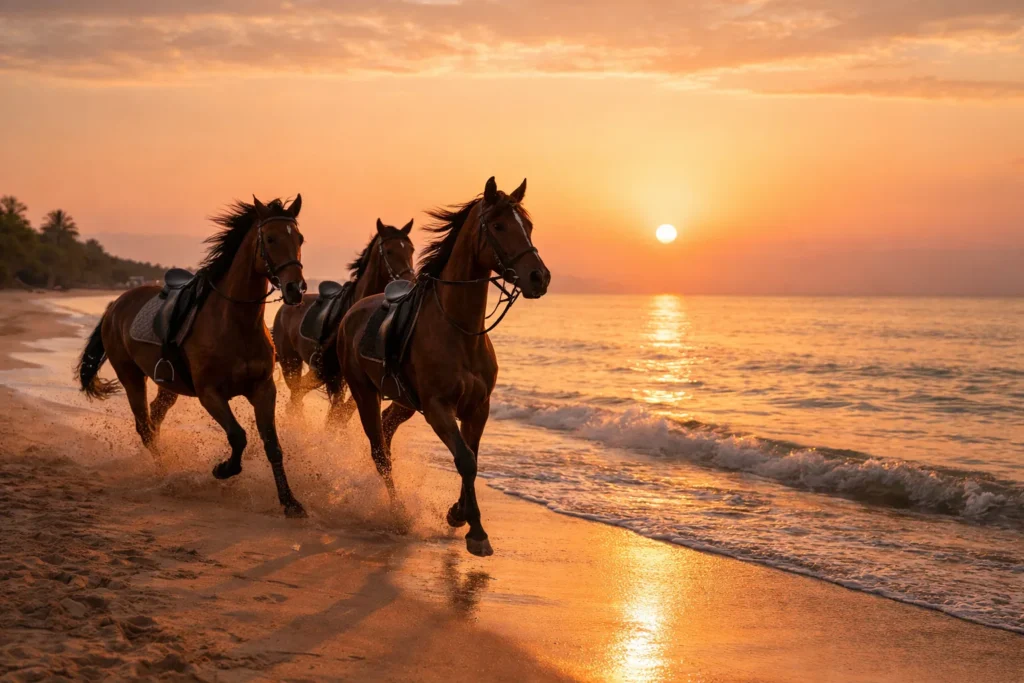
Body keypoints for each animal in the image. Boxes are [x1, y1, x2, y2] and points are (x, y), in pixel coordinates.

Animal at [75, 196, 309, 518]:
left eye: (300, 239)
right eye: (271, 239)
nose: (295, 289)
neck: (233, 321)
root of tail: (115, 304)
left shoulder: (263, 389)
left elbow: (272, 445)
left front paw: (290, 502)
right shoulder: (209, 393)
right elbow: (238, 436)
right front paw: (223, 469)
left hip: (168, 385)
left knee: (155, 419)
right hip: (130, 376)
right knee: (144, 427)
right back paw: (166, 474)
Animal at [271, 219, 414, 417]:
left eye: (411, 250)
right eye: (389, 251)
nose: (410, 283)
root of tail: (283, 309)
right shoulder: (335, 374)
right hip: (291, 363)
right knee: (295, 396)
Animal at [336, 177, 551, 556]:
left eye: (528, 226)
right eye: (499, 226)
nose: (539, 277)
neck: (460, 330)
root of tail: (353, 311)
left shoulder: (478, 407)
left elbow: (473, 459)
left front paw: (457, 514)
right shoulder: (438, 408)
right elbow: (465, 459)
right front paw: (476, 531)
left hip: (404, 402)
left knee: (387, 434)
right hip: (363, 393)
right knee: (380, 453)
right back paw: (398, 512)